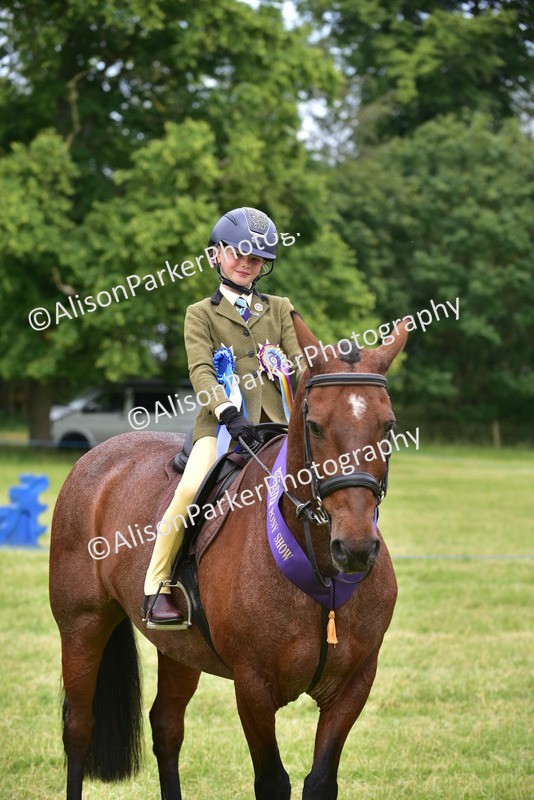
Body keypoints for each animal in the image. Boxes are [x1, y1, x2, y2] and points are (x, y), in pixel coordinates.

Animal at [49, 314, 408, 800]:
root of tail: (97, 457)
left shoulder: (353, 686)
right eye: (314, 425)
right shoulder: (253, 687)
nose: (354, 548)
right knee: (80, 728)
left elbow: (320, 782)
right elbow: (272, 781)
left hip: (179, 648)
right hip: (82, 626)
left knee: (166, 727)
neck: (321, 574)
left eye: (387, 426)